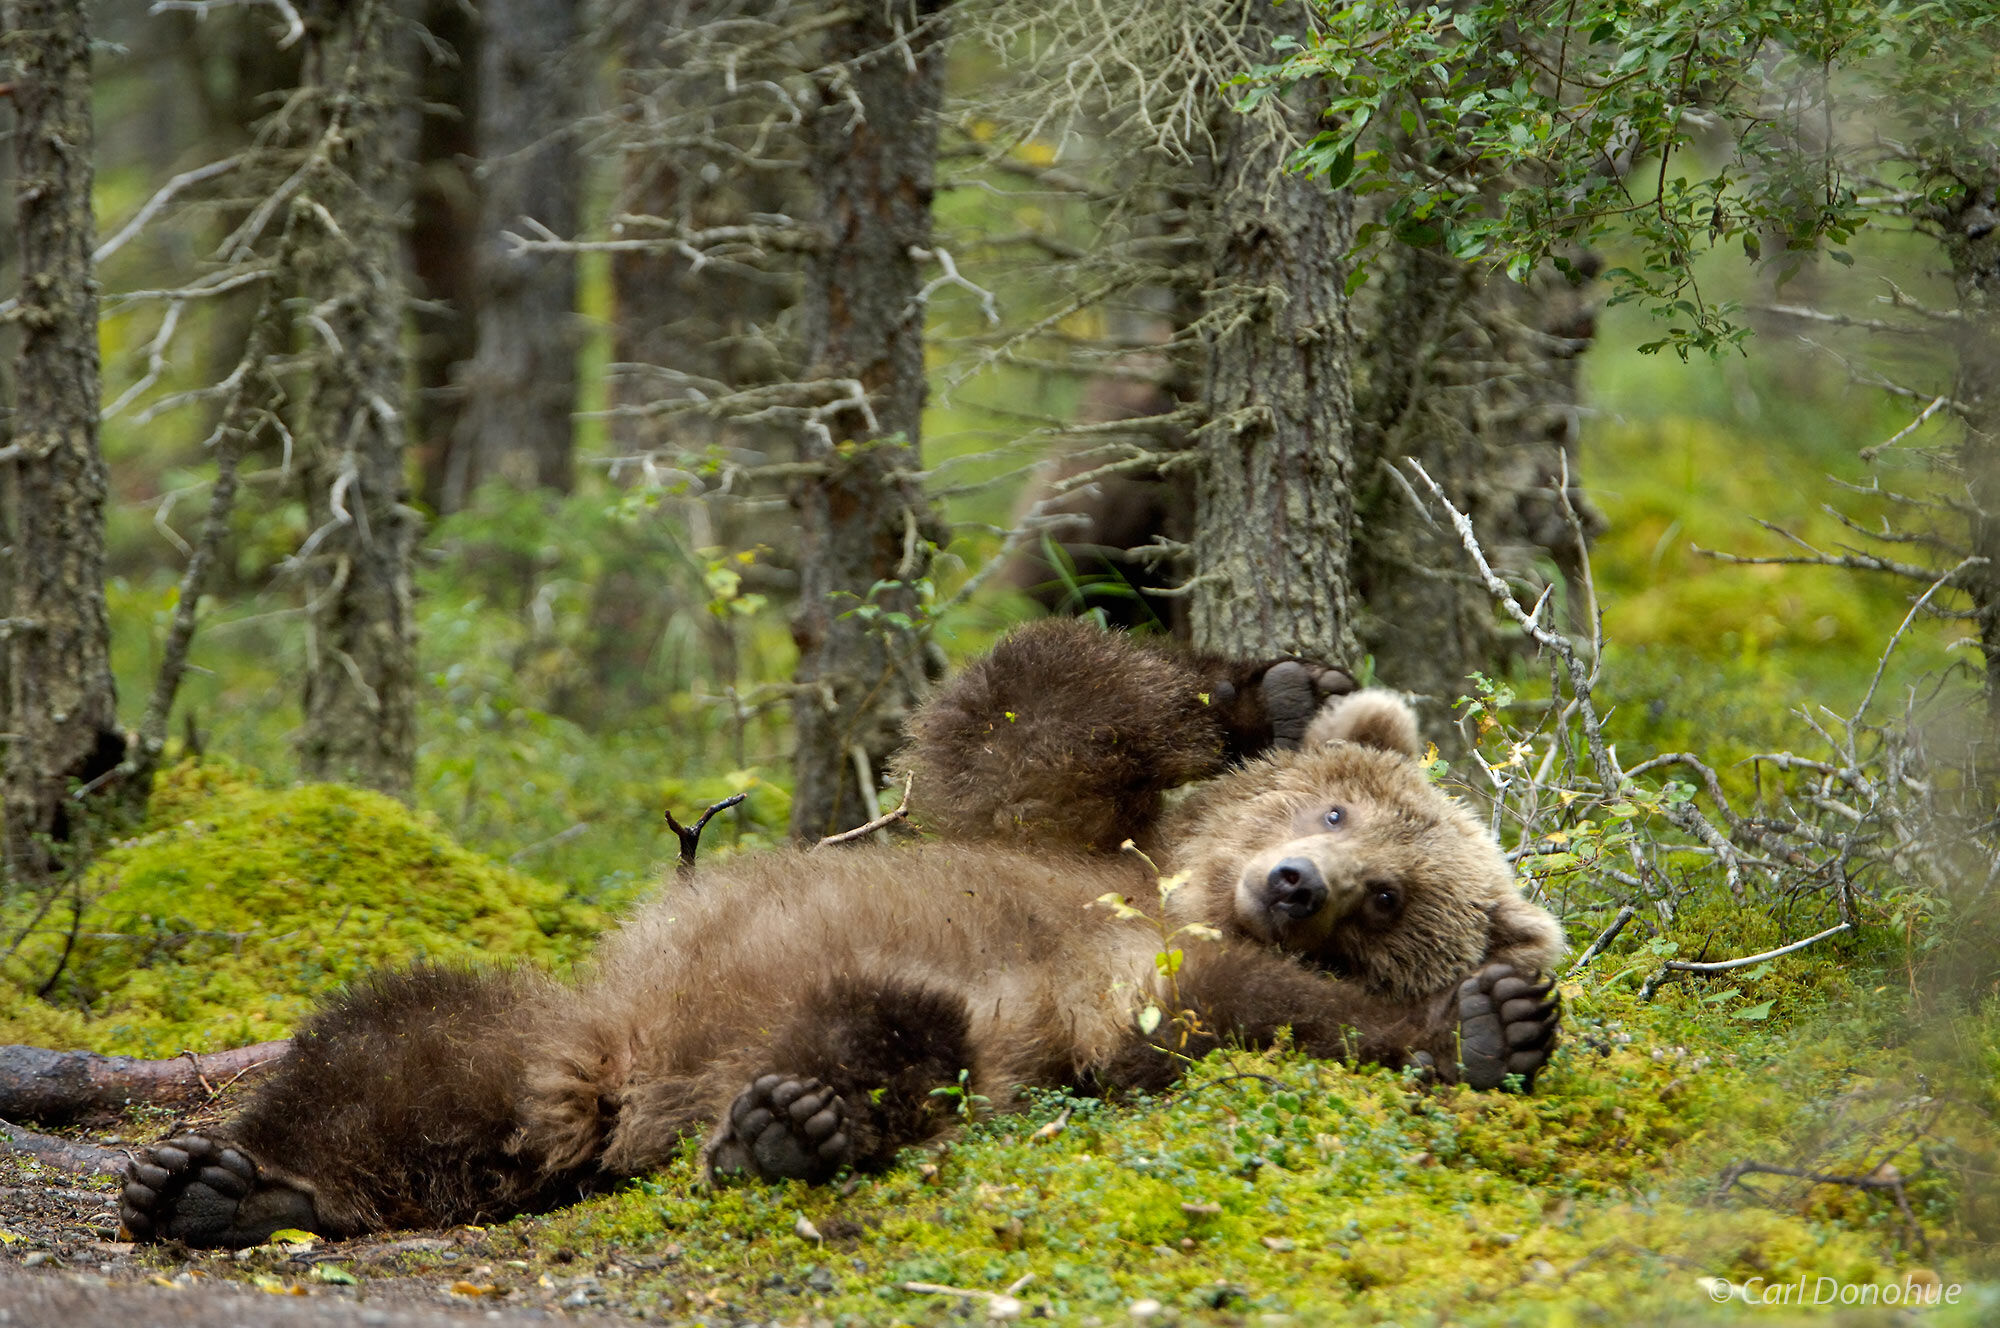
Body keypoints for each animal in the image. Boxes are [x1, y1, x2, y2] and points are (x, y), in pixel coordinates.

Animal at [121, 624, 1560, 1248]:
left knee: (903, 1022)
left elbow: (1231, 1016)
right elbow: (1022, 711)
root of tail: (628, 1109)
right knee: (397, 1039)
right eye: (1332, 804)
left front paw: (1487, 1020)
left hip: (907, 1035)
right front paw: (1280, 687)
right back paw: (222, 1183)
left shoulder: (1117, 982)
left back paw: (788, 1124)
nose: (1302, 885)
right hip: (568, 1024)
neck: (1169, 892)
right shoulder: (1061, 836)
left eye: (1391, 900)